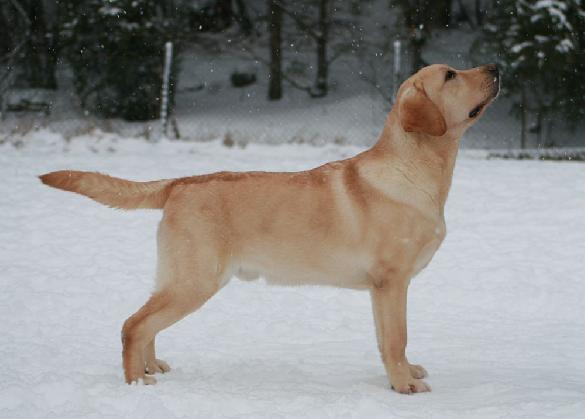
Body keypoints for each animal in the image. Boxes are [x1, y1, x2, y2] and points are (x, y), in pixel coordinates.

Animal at [40, 64, 499, 394]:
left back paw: (153, 366)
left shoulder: (380, 289)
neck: (415, 168)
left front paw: (403, 372)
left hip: (179, 279)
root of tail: (179, 183)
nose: (495, 67)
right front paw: (403, 385)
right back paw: (137, 382)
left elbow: (386, 339)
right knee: (133, 325)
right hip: (195, 280)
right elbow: (396, 338)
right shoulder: (392, 281)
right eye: (450, 75)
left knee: (147, 325)